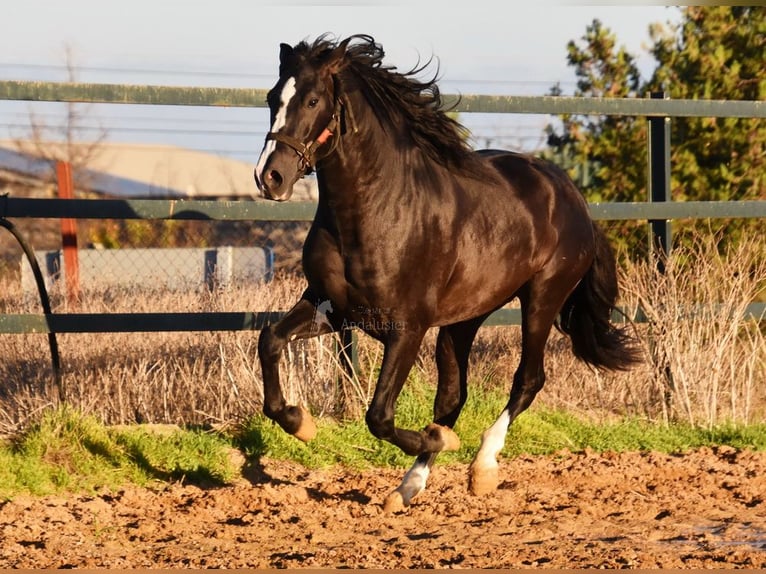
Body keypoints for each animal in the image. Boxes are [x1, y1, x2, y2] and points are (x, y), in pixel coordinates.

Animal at [254, 35, 640, 512]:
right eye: (272, 97)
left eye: (312, 100)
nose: (270, 177)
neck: (373, 214)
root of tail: (572, 196)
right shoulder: (332, 309)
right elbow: (270, 340)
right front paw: (299, 422)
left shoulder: (407, 328)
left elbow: (379, 416)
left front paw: (441, 442)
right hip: (463, 320)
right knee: (454, 396)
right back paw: (407, 488)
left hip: (542, 299)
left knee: (528, 380)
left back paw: (482, 467)